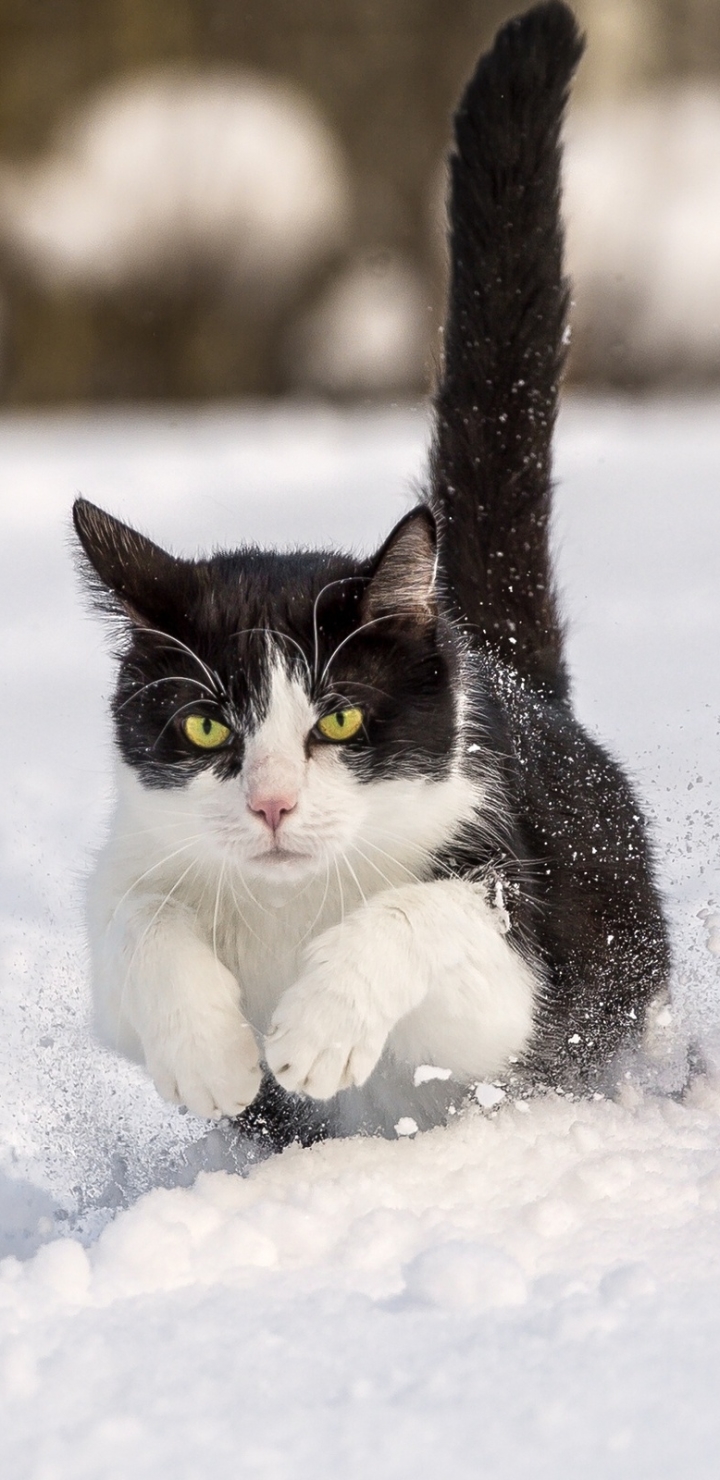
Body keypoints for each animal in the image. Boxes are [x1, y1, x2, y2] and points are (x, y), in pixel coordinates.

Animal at [72, 0, 669, 1142]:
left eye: (341, 718)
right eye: (206, 727)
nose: (271, 806)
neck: (286, 903)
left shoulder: (510, 950)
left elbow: (420, 914)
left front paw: (313, 1031)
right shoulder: (132, 858)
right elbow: (137, 922)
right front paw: (214, 1055)